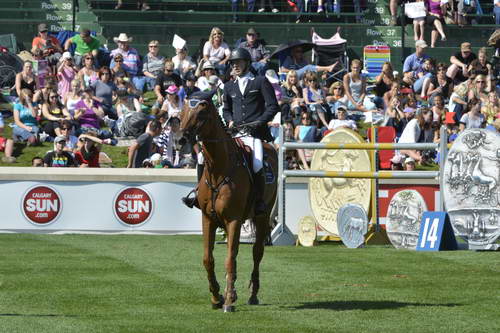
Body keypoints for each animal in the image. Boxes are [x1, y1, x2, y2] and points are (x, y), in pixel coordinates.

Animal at [180, 92, 278, 310]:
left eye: (201, 113)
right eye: (183, 111)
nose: (182, 138)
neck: (218, 168)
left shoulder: (233, 219)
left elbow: (230, 259)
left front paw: (229, 299)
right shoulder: (208, 219)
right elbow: (208, 259)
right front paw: (217, 296)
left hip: (262, 216)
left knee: (257, 252)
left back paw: (252, 294)